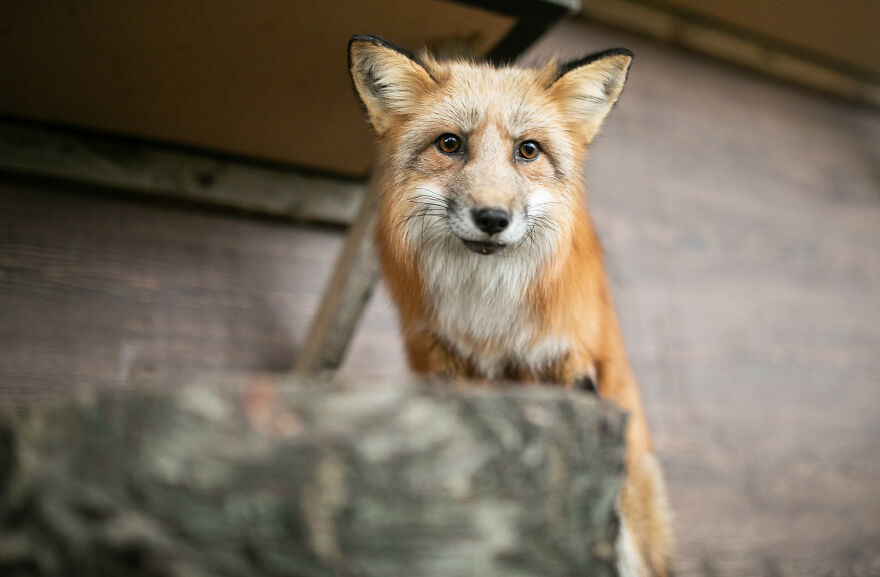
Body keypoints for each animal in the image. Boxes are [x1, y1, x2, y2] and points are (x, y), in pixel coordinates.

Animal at [348, 34, 672, 576]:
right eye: (450, 144)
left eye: (528, 150)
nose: (493, 218)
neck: (490, 319)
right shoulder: (446, 368)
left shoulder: (569, 367)